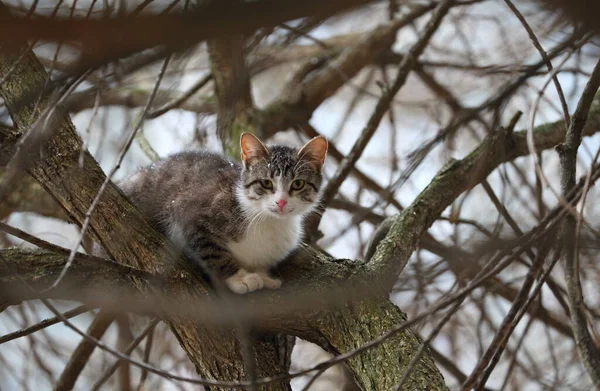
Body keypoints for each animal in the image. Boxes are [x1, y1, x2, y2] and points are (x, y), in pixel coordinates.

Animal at [118, 134, 328, 294]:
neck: (268, 220)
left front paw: (263, 276)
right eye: (266, 183)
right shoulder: (188, 212)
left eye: (298, 184)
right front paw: (240, 278)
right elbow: (212, 251)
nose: (281, 202)